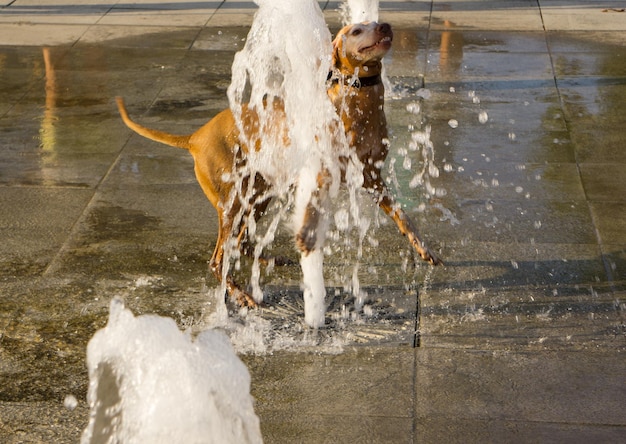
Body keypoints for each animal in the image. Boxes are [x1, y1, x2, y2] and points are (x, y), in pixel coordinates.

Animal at [116, 22, 438, 306]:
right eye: (356, 30)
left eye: (376, 23)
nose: (385, 26)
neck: (357, 101)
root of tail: (195, 137)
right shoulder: (320, 172)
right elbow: (310, 214)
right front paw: (306, 239)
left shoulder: (371, 177)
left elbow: (402, 215)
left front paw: (423, 248)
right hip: (233, 202)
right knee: (218, 259)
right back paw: (240, 294)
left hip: (259, 195)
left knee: (241, 242)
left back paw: (269, 260)